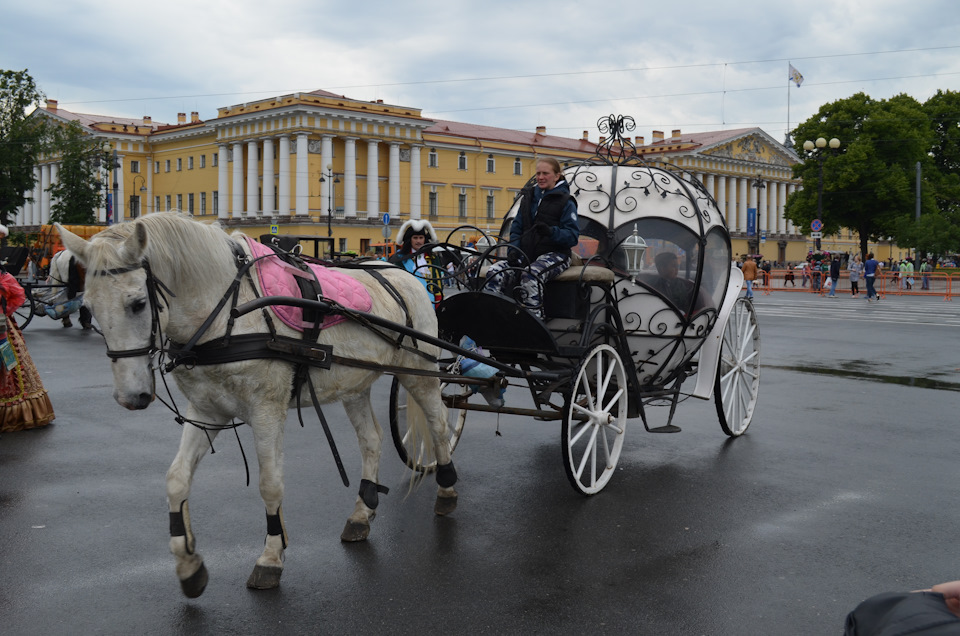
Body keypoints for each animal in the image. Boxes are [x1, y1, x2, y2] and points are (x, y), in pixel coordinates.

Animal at [57, 214, 458, 596]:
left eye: (138, 304)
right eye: (89, 307)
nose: (131, 397)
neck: (227, 313)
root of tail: (403, 273)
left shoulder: (266, 411)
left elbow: (270, 483)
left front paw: (270, 557)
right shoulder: (206, 412)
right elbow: (176, 479)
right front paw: (189, 564)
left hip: (420, 373)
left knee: (439, 425)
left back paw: (447, 490)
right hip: (354, 384)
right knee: (371, 439)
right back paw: (361, 513)